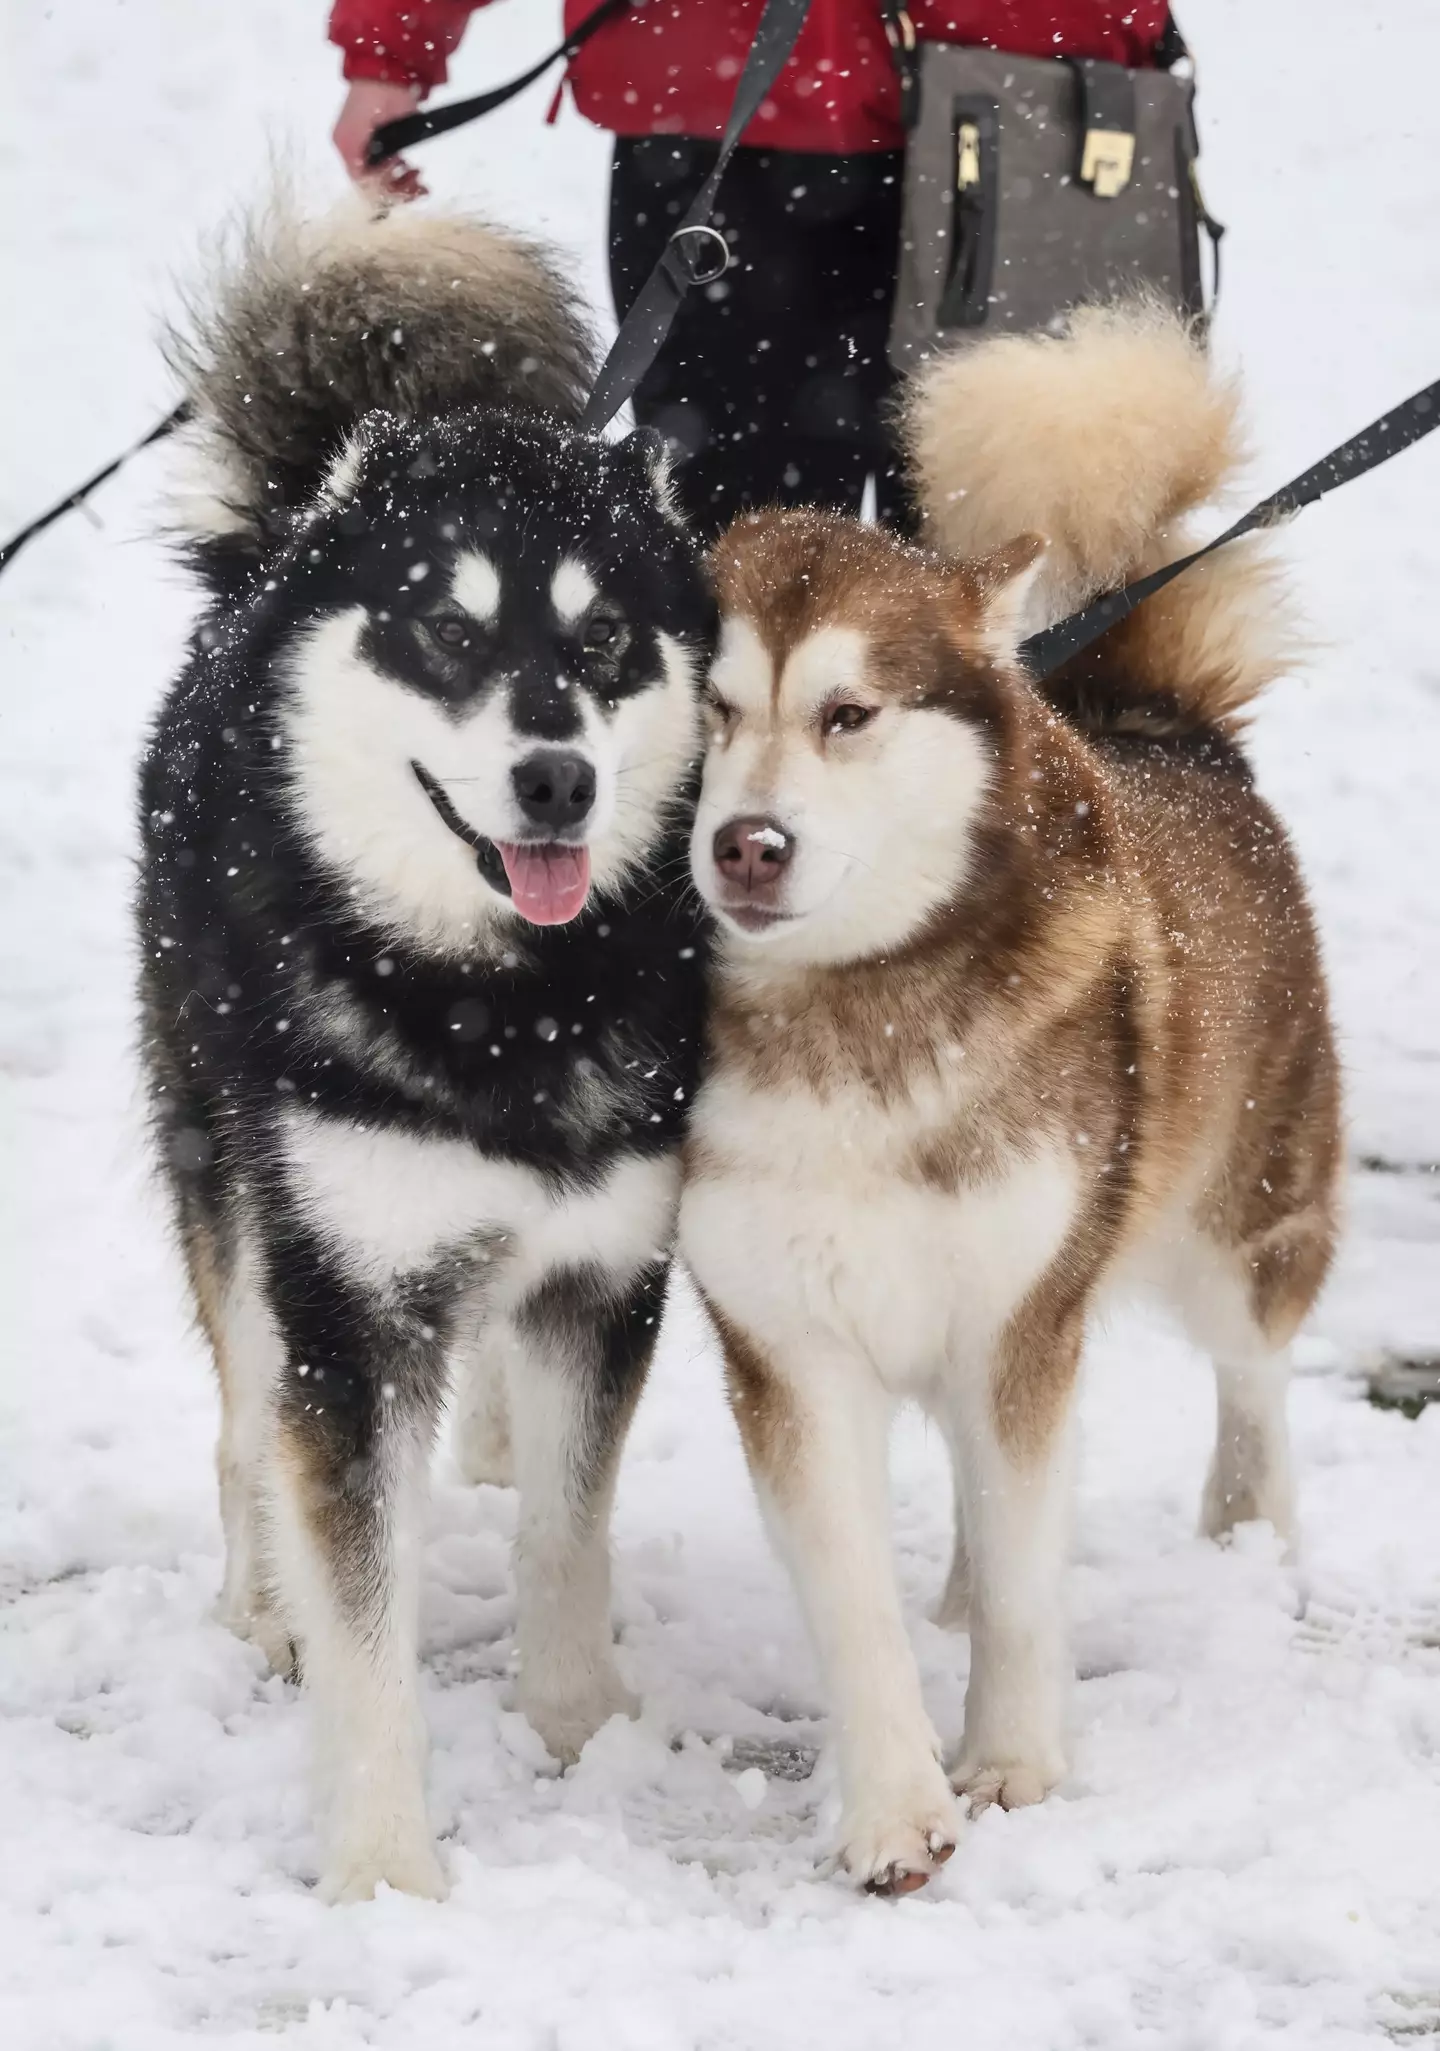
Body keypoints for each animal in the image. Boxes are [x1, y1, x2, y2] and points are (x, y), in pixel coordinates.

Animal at [138, 199, 713, 1895]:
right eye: (450, 627)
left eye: (607, 633)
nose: (556, 778)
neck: (499, 1004)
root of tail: (273, 551)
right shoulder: (350, 1302)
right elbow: (365, 1604)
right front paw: (388, 1871)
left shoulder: (610, 1269)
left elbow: (568, 1532)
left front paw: (582, 1736)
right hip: (230, 1178)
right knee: (242, 1419)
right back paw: (261, 1602)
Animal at [681, 311, 1345, 1895]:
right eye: (714, 706)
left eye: (847, 713)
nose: (746, 844)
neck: (856, 1014)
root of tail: (1164, 721)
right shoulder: (789, 1351)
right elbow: (854, 1605)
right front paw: (893, 1809)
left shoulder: (1025, 1316)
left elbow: (1036, 1578)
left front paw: (1015, 1765)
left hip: (1232, 1221)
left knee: (1255, 1369)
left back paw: (1251, 1535)